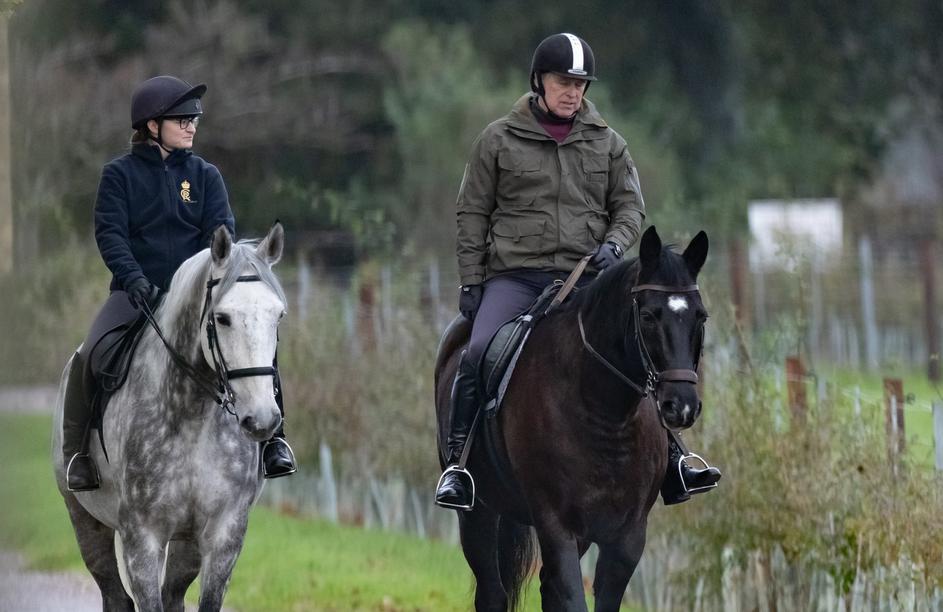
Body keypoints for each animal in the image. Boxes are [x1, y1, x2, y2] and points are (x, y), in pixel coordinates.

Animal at [52, 223, 287, 611]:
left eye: (277, 315)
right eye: (222, 318)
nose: (262, 420)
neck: (193, 415)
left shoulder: (224, 536)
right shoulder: (143, 539)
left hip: (187, 543)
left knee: (172, 594)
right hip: (85, 520)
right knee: (116, 596)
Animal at [435, 226, 710, 611]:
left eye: (700, 316)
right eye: (648, 316)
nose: (681, 406)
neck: (604, 415)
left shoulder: (627, 537)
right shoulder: (556, 526)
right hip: (478, 514)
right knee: (492, 592)